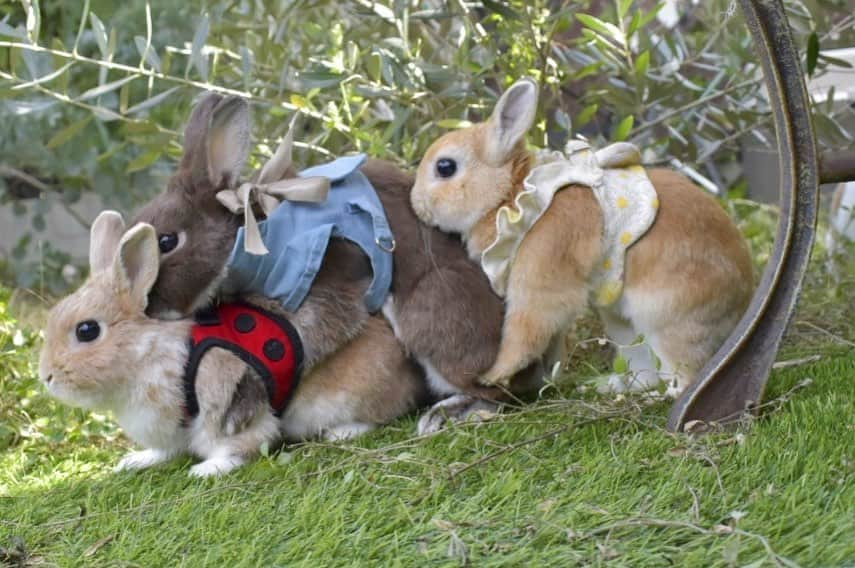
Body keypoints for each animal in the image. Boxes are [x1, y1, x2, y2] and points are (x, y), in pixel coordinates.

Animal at [39, 211, 424, 478]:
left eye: (87, 330)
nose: (46, 377)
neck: (145, 353)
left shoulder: (227, 412)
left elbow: (240, 446)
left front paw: (204, 471)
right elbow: (163, 452)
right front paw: (135, 461)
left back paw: (342, 432)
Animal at [412, 79, 752, 394]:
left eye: (445, 167)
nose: (417, 204)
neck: (514, 196)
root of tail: (741, 300)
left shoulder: (539, 279)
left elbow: (524, 331)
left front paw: (492, 375)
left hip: (667, 322)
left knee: (685, 375)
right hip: (623, 324)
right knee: (644, 368)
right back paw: (608, 387)